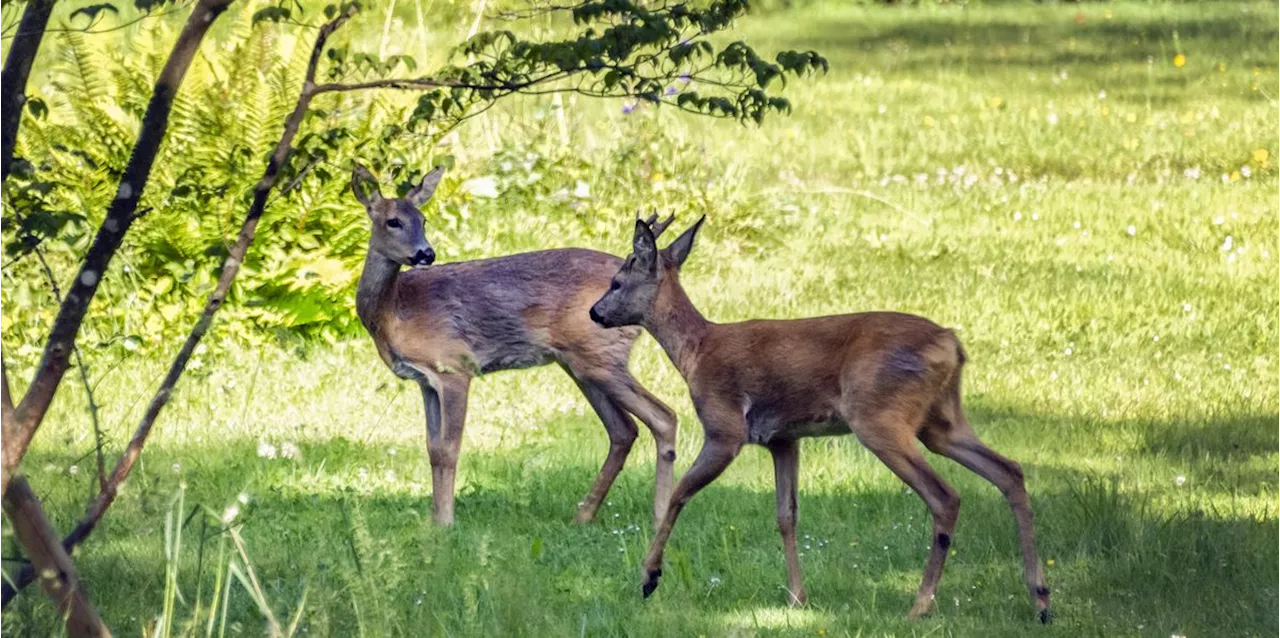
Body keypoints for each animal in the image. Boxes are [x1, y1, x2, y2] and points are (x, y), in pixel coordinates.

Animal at [350, 162, 680, 525]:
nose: (426, 253)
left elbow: (449, 449)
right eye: (393, 221)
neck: (396, 310)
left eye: (423, 220)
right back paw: (583, 516)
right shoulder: (425, 381)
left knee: (663, 417)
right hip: (581, 362)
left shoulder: (454, 366)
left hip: (599, 356)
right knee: (624, 429)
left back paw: (659, 516)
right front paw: (434, 522)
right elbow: (433, 449)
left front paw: (447, 522)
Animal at [588, 217, 1049, 622]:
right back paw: (1041, 599)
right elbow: (786, 515)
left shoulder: (724, 426)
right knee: (1009, 470)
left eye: (616, 282)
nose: (594, 312)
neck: (696, 352)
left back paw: (920, 606)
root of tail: (952, 343)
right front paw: (797, 597)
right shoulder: (783, 438)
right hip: (941, 421)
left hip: (879, 416)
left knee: (946, 495)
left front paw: (649, 576)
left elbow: (680, 493)